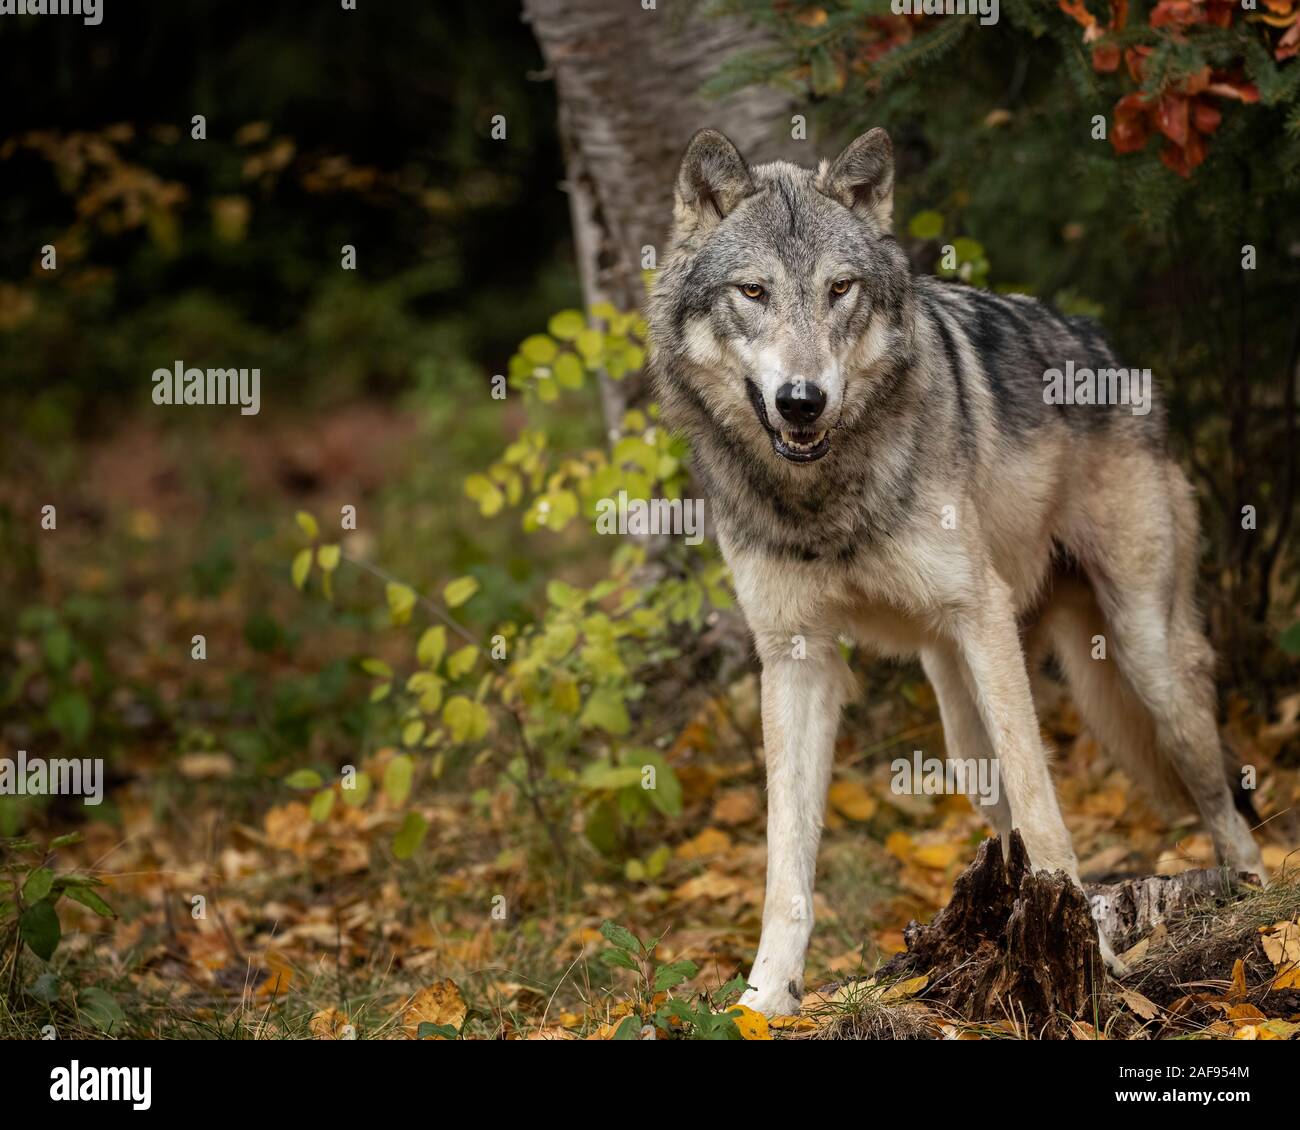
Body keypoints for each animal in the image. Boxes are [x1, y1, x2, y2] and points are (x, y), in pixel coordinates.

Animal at [650, 123, 1268, 1014]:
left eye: (840, 289)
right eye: (753, 292)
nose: (804, 400)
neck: (825, 496)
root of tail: (1103, 343)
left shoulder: (979, 614)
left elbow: (1046, 807)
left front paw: (1089, 956)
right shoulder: (795, 655)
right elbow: (786, 858)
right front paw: (765, 999)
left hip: (1143, 660)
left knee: (1220, 799)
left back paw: (1248, 898)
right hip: (963, 721)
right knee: (999, 813)